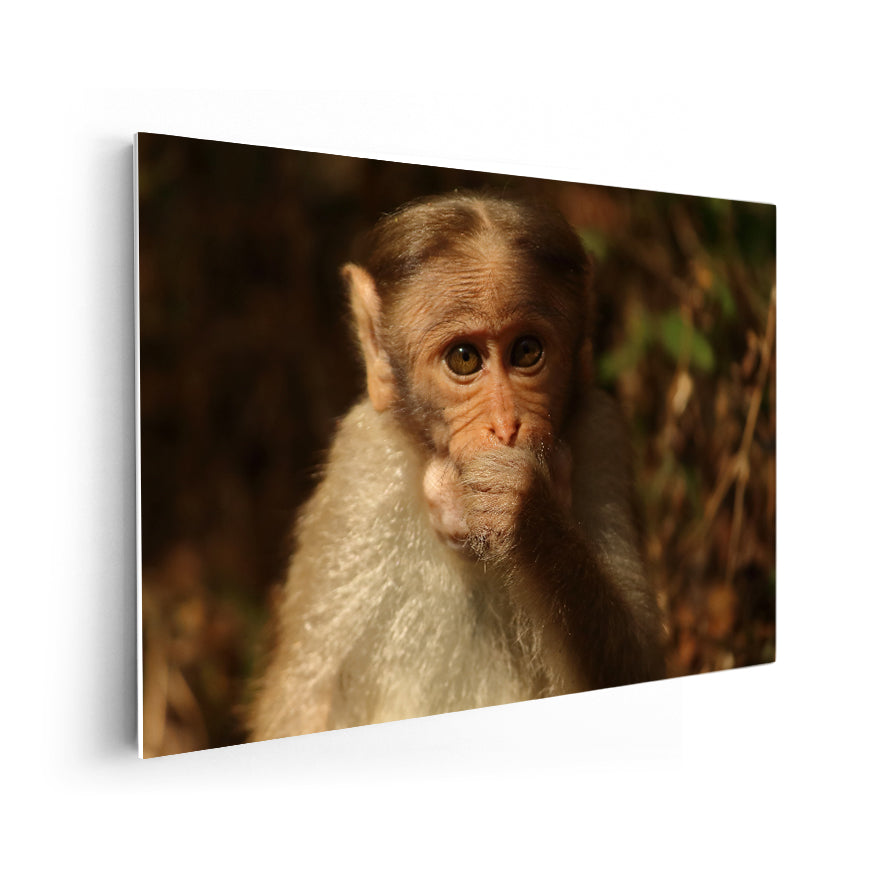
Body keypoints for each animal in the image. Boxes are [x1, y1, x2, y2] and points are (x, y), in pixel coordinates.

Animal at [248, 192, 665, 741]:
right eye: (464, 359)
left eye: (527, 351)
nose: (506, 427)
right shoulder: (361, 469)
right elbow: (305, 702)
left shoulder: (603, 438)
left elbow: (636, 667)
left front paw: (525, 512)